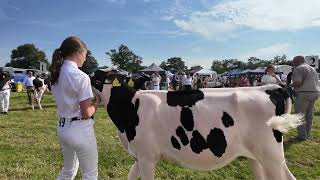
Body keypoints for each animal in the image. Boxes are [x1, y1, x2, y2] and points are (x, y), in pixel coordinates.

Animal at [90, 70, 302, 180]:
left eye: (96, 79)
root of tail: (273, 88)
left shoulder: (147, 157)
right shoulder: (138, 156)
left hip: (271, 156)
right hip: (257, 157)